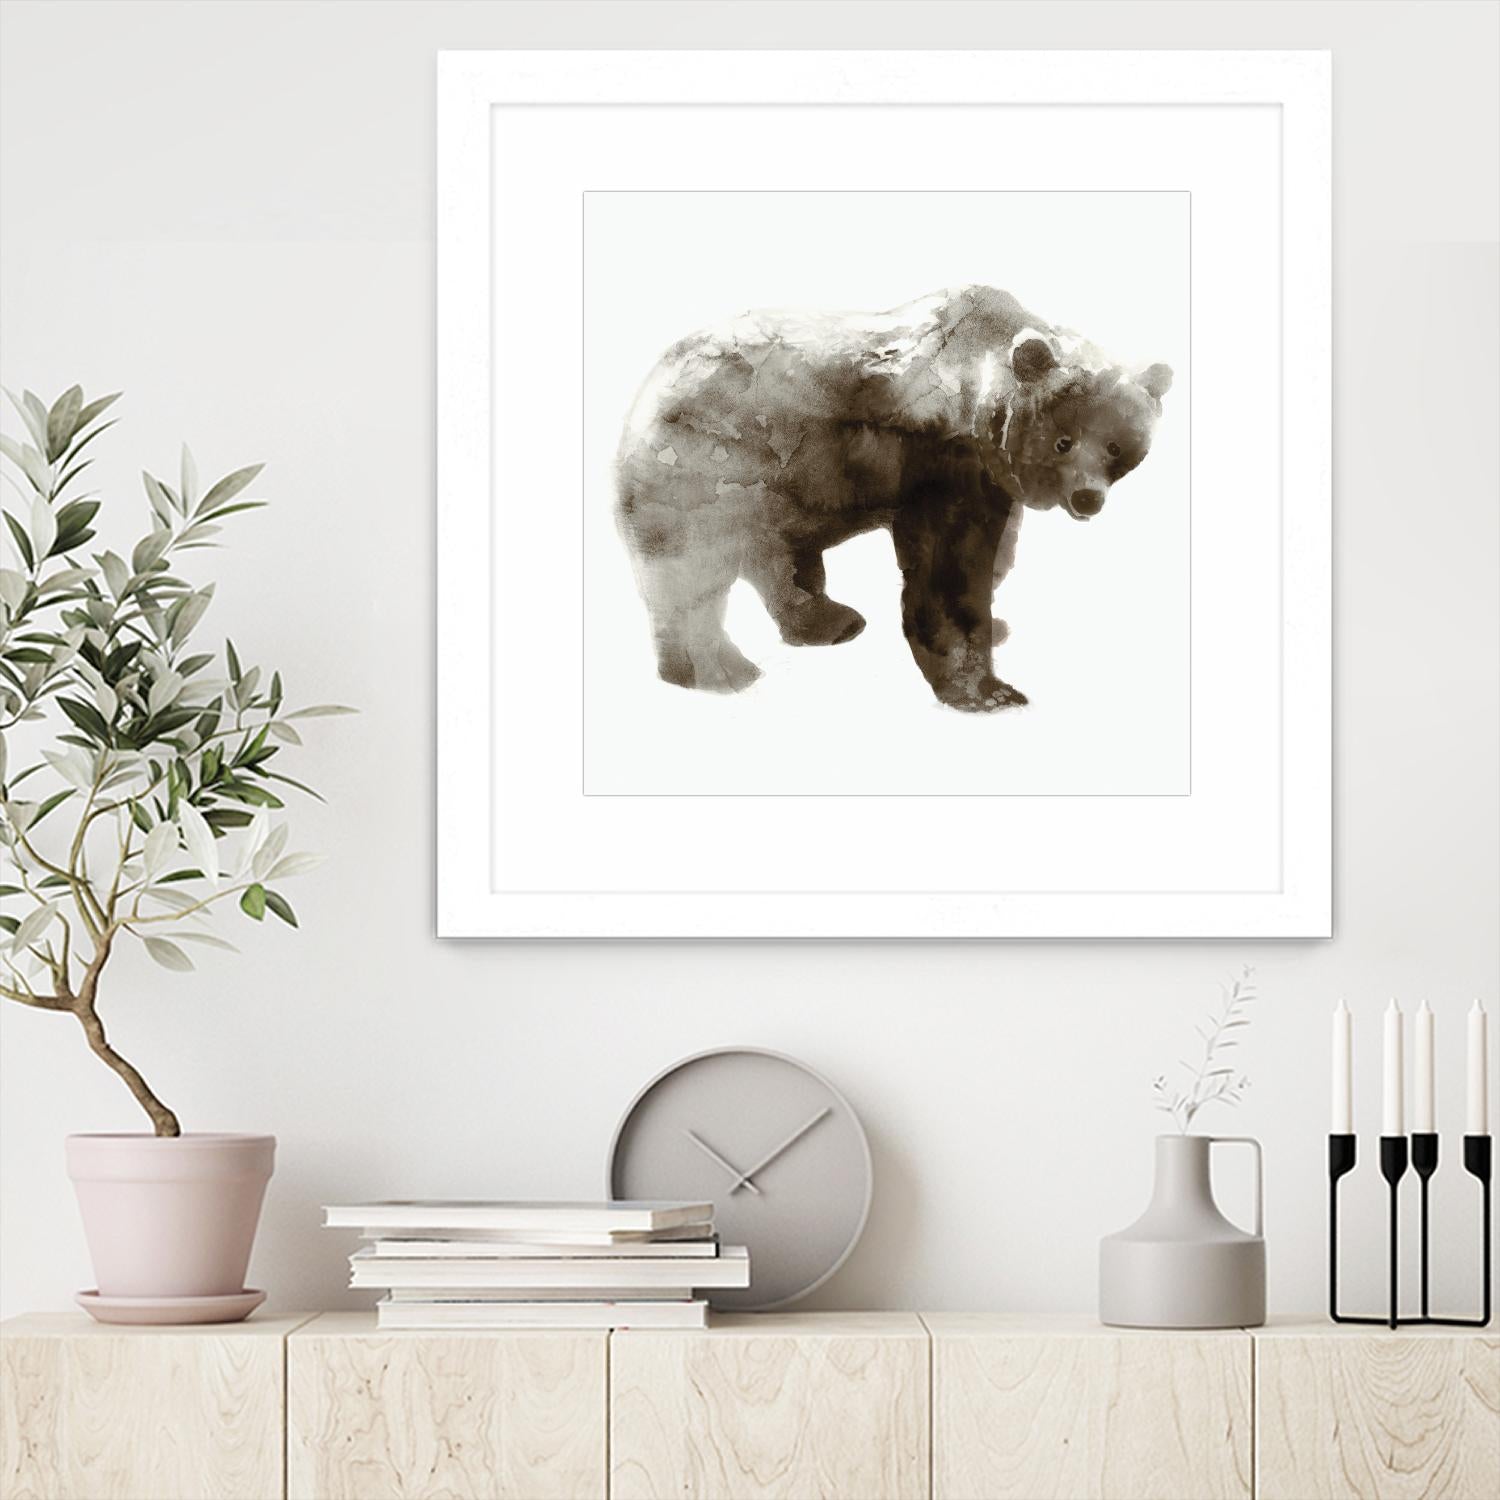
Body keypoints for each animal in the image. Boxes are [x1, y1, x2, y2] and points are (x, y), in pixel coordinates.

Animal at [614, 284, 1172, 711]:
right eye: (1064, 441)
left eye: (1117, 447)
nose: (1088, 498)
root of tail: (647, 387)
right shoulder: (939, 460)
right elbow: (949, 570)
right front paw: (990, 690)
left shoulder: (991, 478)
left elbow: (997, 554)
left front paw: (997, 625)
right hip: (710, 466)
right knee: (692, 572)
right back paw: (718, 671)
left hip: (781, 491)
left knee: (779, 557)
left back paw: (829, 621)